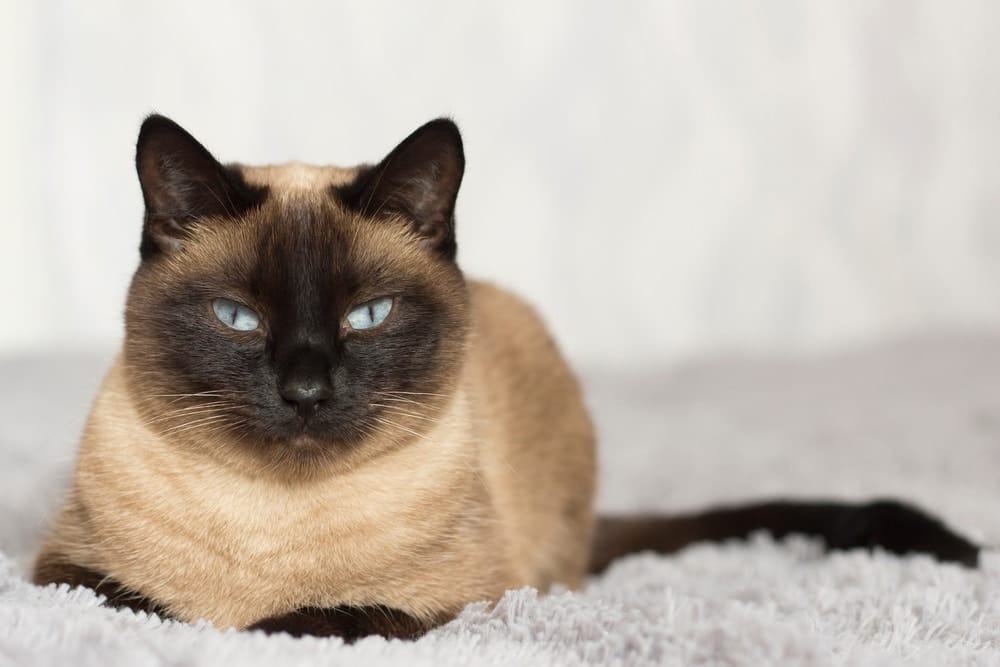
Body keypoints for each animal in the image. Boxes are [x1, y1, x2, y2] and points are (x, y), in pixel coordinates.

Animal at [33, 115, 976, 640]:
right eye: (238, 317)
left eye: (369, 316)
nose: (305, 392)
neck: (270, 522)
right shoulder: (62, 575)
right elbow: (148, 606)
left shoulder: (458, 603)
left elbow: (316, 618)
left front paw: (258, 625)